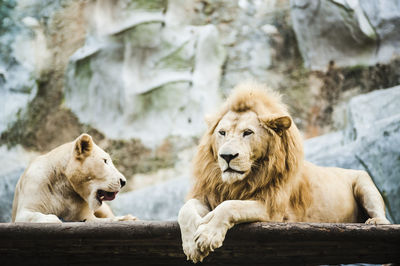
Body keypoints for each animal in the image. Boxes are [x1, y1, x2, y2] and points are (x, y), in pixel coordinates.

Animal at [179, 82, 390, 262]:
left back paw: (375, 222)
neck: (240, 182)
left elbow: (230, 206)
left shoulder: (273, 209)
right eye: (221, 133)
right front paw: (191, 243)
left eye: (248, 132)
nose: (227, 156)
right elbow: (185, 210)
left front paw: (207, 235)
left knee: (383, 216)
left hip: (363, 182)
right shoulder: (210, 194)